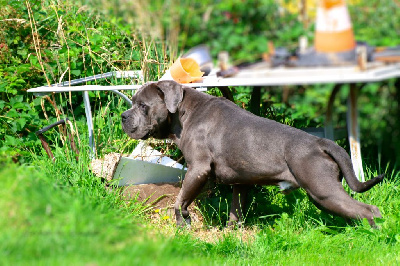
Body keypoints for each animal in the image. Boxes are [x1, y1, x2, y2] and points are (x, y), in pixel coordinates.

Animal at [120, 80, 382, 227]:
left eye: (143, 106)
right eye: (132, 102)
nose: (123, 116)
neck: (184, 114)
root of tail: (321, 142)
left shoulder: (198, 170)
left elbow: (179, 202)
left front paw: (183, 226)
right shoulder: (241, 181)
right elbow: (235, 212)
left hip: (323, 191)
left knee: (368, 211)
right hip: (323, 196)